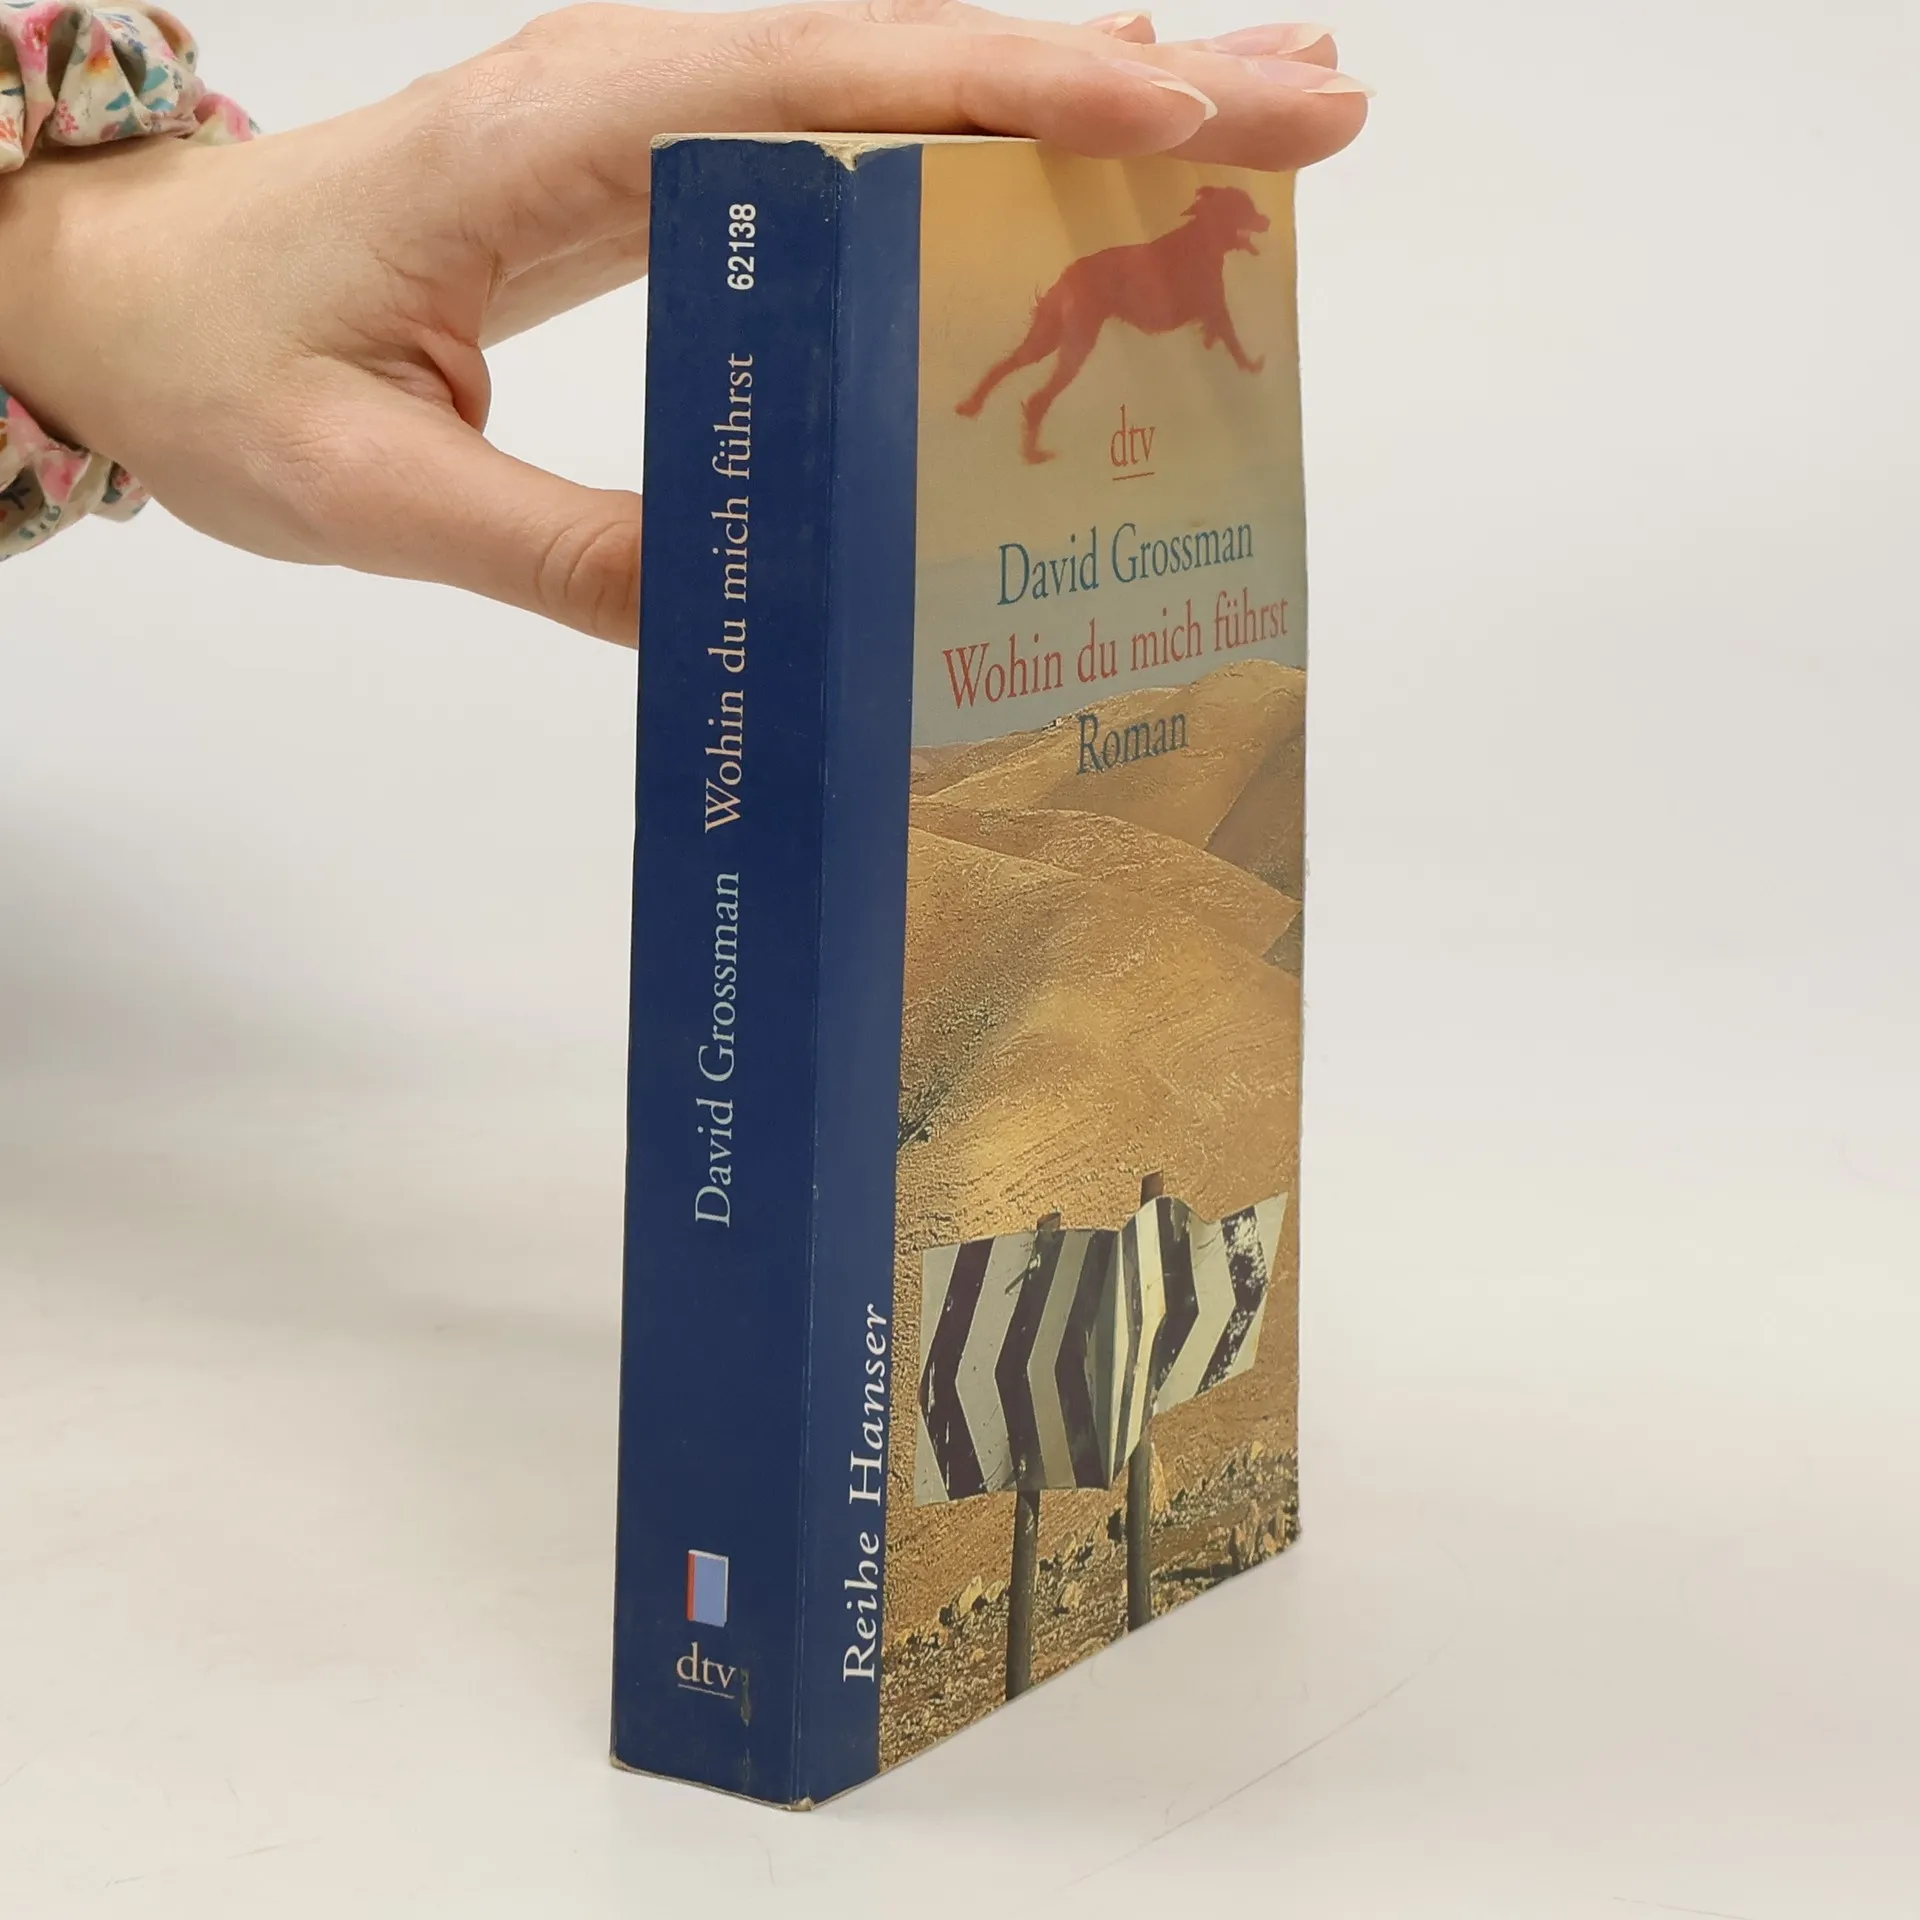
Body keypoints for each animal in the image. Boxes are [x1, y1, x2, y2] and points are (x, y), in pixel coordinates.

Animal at [954, 185, 1272, 465]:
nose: (1267, 220)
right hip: (1077, 343)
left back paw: (971, 406)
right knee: (1036, 400)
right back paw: (1034, 454)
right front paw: (1249, 365)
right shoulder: (1214, 307)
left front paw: (1210, 341)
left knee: (1003, 367)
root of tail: (1069, 275)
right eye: (1245, 207)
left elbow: (1215, 332)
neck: (1203, 238)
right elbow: (1232, 341)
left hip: (1046, 338)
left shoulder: (1207, 310)